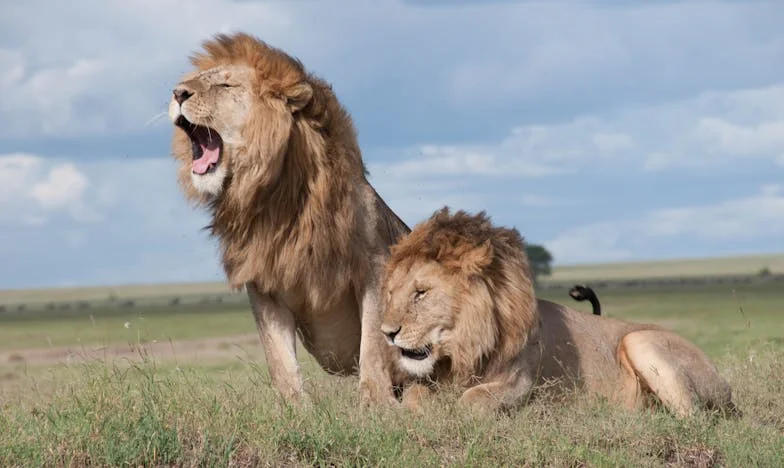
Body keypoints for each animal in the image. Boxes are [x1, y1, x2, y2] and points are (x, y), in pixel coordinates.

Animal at [168, 33, 408, 406]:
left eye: (224, 84)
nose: (178, 93)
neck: (276, 198)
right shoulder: (263, 281)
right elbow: (278, 356)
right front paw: (294, 408)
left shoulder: (375, 266)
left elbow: (372, 343)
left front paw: (376, 404)